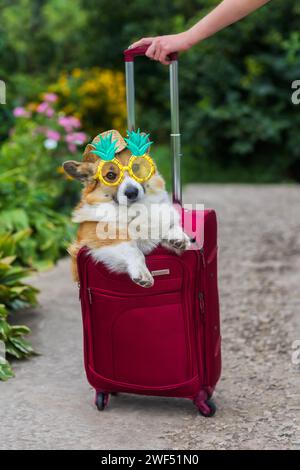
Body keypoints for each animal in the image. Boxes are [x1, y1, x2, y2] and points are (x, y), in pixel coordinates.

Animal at [63, 130, 190, 288]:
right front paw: (142, 273)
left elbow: (170, 224)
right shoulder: (101, 237)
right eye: (110, 175)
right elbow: (133, 249)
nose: (131, 192)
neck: (134, 210)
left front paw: (178, 237)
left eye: (136, 168)